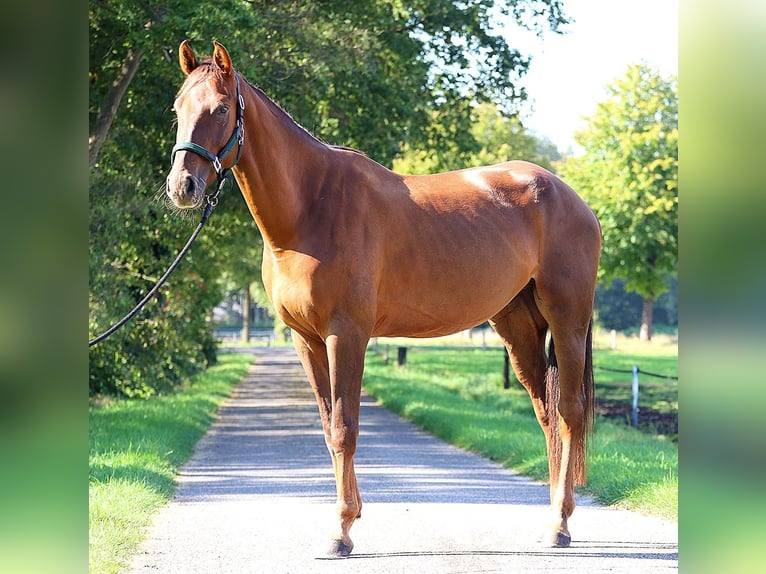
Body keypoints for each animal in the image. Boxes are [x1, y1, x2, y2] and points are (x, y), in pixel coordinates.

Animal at [166, 41, 600, 560]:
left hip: (568, 321)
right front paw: (345, 521)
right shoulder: (305, 340)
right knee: (546, 415)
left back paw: (560, 524)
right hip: (518, 327)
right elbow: (328, 427)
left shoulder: (346, 335)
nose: (182, 187)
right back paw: (551, 519)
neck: (312, 207)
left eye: (220, 108)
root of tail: (568, 196)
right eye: (177, 109)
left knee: (569, 413)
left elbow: (344, 428)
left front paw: (341, 531)